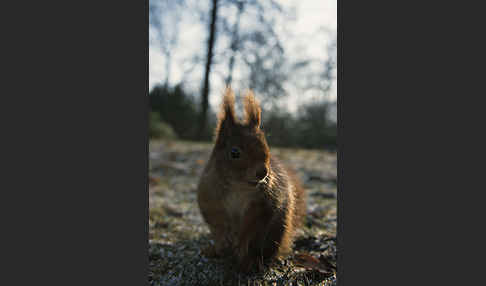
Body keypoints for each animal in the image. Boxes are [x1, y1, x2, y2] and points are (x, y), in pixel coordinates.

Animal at [196, 87, 304, 272]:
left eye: (266, 147)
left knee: (262, 251)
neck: (238, 187)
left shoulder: (264, 203)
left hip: (277, 231)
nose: (262, 172)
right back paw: (214, 250)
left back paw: (251, 261)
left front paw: (241, 242)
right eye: (234, 153)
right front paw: (225, 240)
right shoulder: (210, 198)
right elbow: (218, 224)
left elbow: (253, 227)